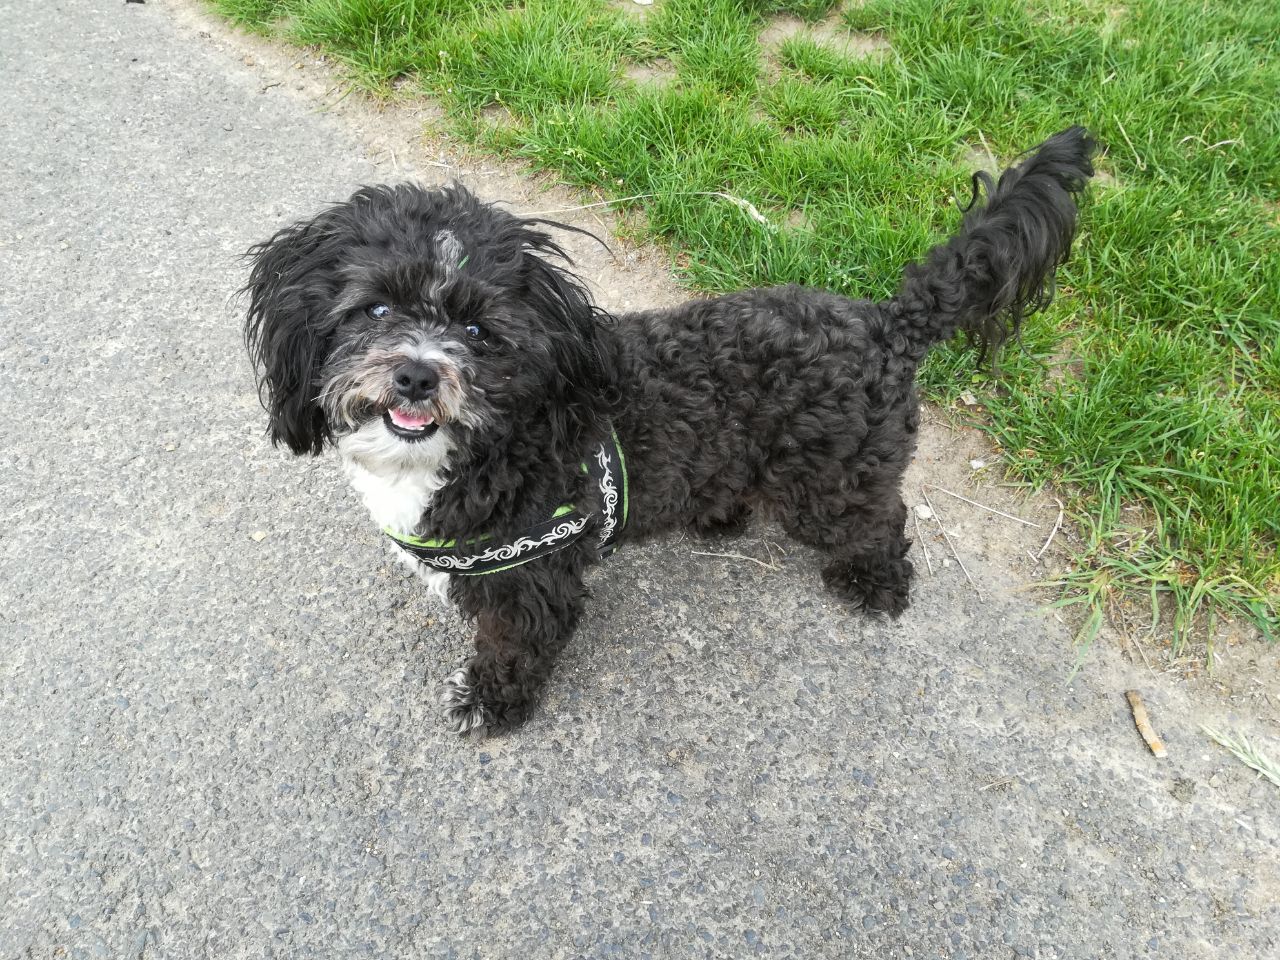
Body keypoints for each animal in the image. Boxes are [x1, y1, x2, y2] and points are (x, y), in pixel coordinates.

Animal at [243, 126, 1095, 735]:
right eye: (375, 308)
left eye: (481, 331)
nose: (418, 374)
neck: (489, 445)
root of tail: (886, 324)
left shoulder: (532, 582)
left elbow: (513, 648)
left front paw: (491, 703)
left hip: (831, 484)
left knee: (881, 517)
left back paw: (876, 583)